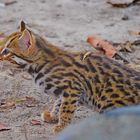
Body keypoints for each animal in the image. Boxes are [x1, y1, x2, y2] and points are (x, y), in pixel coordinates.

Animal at [0, 21, 140, 133]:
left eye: (6, 51)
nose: (0, 55)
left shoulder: (73, 88)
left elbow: (66, 109)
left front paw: (62, 126)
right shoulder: (65, 91)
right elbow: (58, 103)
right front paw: (53, 116)